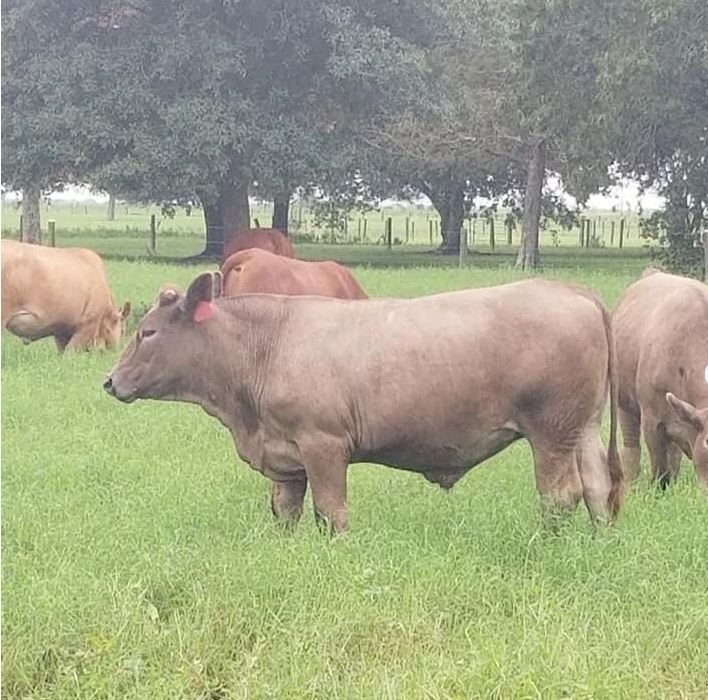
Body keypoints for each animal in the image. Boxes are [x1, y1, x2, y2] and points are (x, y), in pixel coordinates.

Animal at [104, 271, 624, 533]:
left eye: (147, 332)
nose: (110, 381)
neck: (267, 345)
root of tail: (568, 289)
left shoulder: (324, 445)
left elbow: (331, 513)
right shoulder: (286, 460)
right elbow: (285, 511)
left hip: (551, 431)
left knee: (561, 495)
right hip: (582, 428)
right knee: (599, 489)